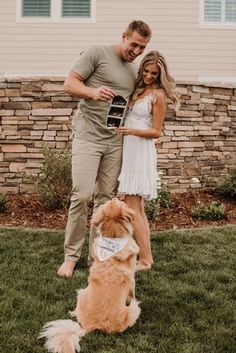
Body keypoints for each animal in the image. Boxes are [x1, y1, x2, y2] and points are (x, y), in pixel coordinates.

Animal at [39, 198, 141, 352]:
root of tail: (90, 327)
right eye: (116, 201)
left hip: (82, 293)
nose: (115, 197)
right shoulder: (132, 279)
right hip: (131, 310)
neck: (113, 236)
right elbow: (132, 292)